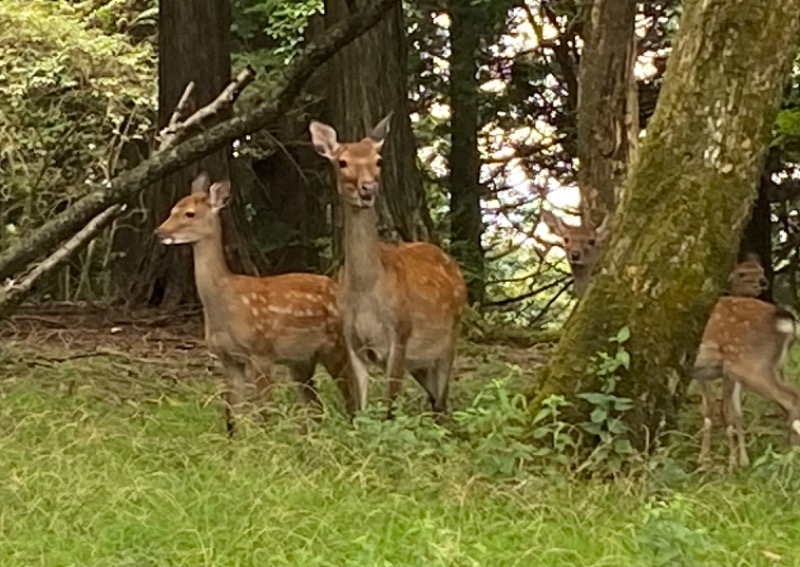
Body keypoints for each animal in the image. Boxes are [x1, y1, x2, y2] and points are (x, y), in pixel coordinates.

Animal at [158, 175, 352, 438]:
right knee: (316, 406)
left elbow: (264, 412)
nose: (159, 232)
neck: (226, 305)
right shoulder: (228, 359)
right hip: (301, 360)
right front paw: (235, 445)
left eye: (189, 213)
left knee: (350, 393)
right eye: (171, 210)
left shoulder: (261, 352)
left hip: (336, 345)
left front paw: (266, 441)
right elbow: (231, 415)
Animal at [308, 115, 468, 418]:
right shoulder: (351, 339)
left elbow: (391, 407)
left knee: (442, 403)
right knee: (435, 400)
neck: (366, 289)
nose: (368, 188)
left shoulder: (400, 333)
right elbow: (359, 408)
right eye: (342, 162)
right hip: (421, 361)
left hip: (449, 337)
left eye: (378, 160)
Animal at [692, 258, 800, 470]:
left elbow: (726, 411)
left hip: (749, 364)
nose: (762, 282)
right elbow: (711, 410)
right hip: (770, 366)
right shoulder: (703, 374)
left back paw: (790, 459)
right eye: (742, 274)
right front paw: (706, 460)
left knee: (792, 399)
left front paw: (730, 463)